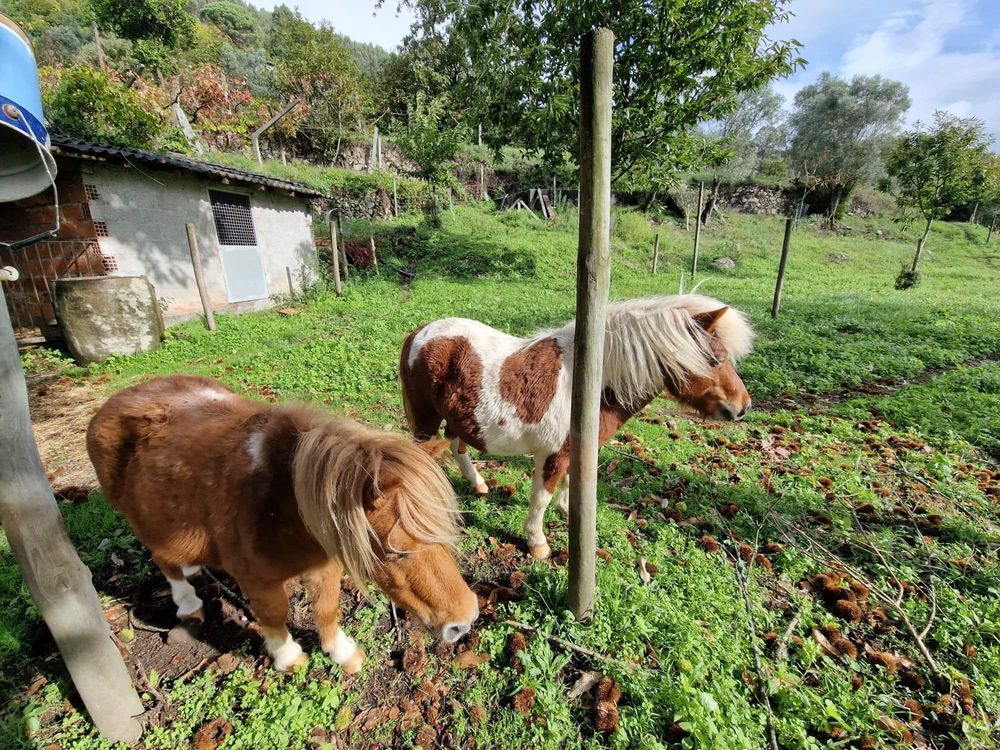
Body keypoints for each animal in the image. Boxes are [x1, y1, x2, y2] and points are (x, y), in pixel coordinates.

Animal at [86, 376, 476, 676]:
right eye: (398, 552)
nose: (465, 621)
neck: (279, 503)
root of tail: (115, 401)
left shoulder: (326, 565)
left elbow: (327, 607)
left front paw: (343, 653)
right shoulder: (257, 580)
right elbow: (274, 614)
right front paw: (288, 657)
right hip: (144, 523)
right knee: (164, 561)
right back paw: (188, 603)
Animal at [398, 294, 752, 560]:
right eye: (716, 359)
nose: (743, 406)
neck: (588, 385)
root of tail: (418, 333)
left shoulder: (573, 450)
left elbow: (569, 482)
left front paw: (569, 511)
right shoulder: (552, 455)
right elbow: (541, 498)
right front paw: (537, 543)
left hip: (457, 417)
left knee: (456, 446)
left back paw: (478, 484)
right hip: (426, 420)